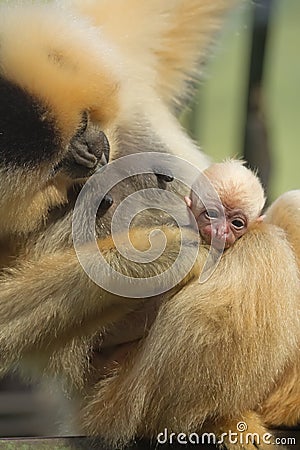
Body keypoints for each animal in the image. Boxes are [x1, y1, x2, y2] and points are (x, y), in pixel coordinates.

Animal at [0, 0, 298, 450]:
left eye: (84, 123)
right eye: (60, 163)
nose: (91, 153)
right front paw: (173, 250)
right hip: (122, 404)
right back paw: (219, 419)